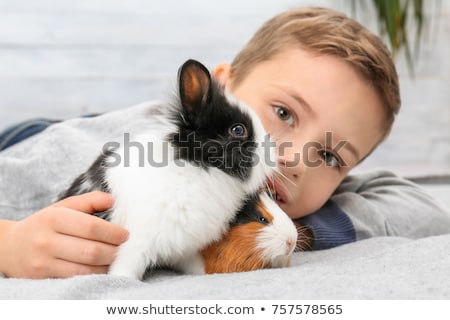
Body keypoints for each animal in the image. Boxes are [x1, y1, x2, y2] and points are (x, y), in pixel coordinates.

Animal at [60, 58, 274, 278]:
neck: (198, 165)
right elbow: (126, 265)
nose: (272, 154)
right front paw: (122, 279)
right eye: (238, 129)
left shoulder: (185, 246)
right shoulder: (136, 241)